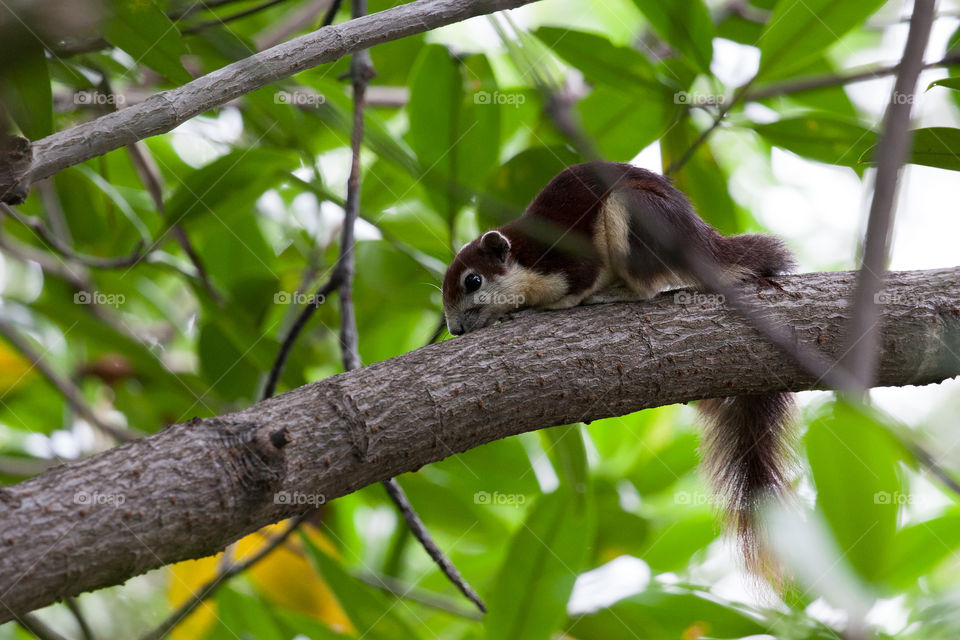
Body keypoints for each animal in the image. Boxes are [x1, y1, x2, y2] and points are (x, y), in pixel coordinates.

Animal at [440, 161, 796, 568]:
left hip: (636, 218)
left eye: (473, 280)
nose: (454, 329)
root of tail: (700, 239)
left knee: (645, 288)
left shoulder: (570, 264)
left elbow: (574, 289)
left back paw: (612, 294)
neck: (525, 259)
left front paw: (534, 310)